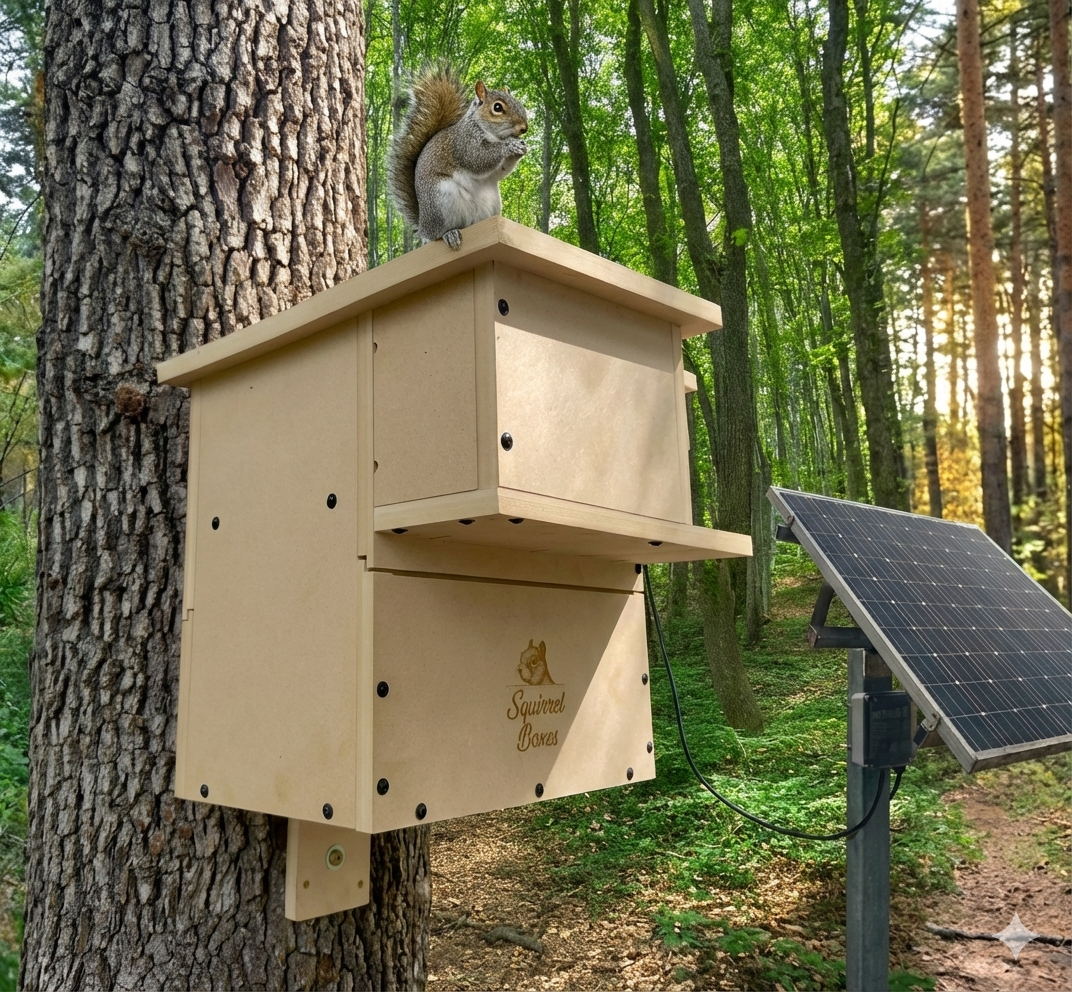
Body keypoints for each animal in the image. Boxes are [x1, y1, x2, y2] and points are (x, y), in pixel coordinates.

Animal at [388, 66, 529, 251]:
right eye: (497, 107)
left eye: (518, 102)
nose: (524, 128)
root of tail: (423, 224)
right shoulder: (463, 143)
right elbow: (477, 158)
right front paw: (510, 145)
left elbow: (501, 171)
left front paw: (521, 148)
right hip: (440, 200)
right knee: (435, 235)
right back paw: (449, 234)